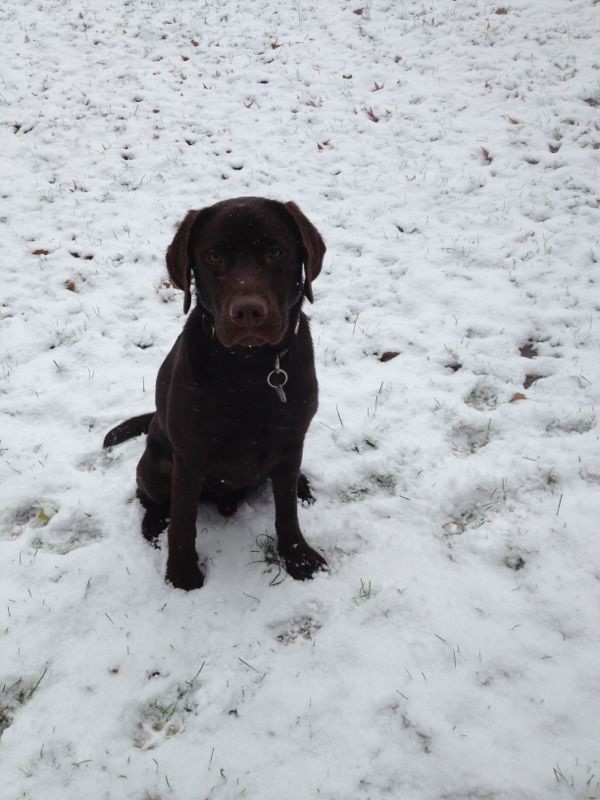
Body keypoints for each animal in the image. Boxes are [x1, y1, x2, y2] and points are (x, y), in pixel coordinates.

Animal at [103, 197, 328, 592]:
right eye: (213, 256)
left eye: (275, 251)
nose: (248, 312)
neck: (251, 369)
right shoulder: (190, 457)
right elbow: (183, 521)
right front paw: (182, 575)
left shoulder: (290, 439)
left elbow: (286, 510)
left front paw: (298, 558)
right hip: (156, 468)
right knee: (150, 499)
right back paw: (152, 526)